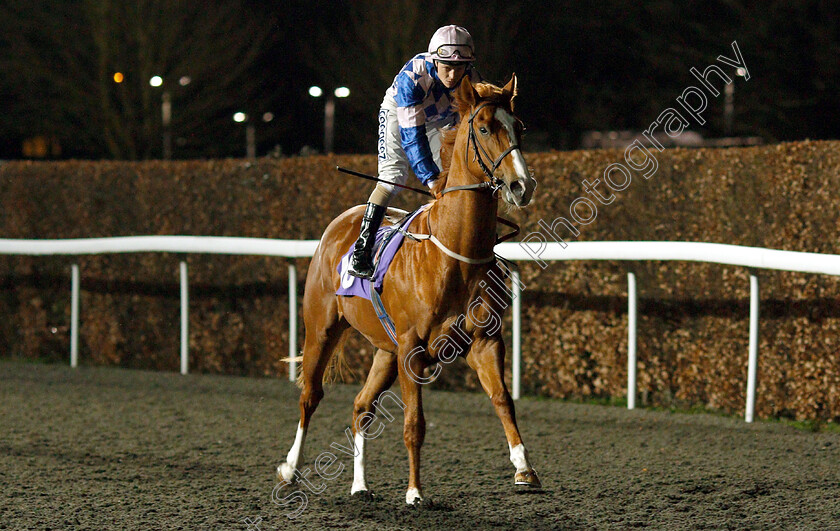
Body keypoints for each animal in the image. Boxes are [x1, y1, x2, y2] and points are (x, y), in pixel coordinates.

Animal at [276, 75, 540, 508]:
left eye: (519, 126)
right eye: (485, 128)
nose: (522, 185)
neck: (454, 254)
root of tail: (338, 224)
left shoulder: (484, 341)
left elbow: (504, 400)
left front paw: (524, 467)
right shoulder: (412, 349)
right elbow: (414, 422)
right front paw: (415, 491)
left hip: (385, 350)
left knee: (361, 407)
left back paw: (360, 486)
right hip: (322, 330)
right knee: (309, 395)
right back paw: (290, 469)